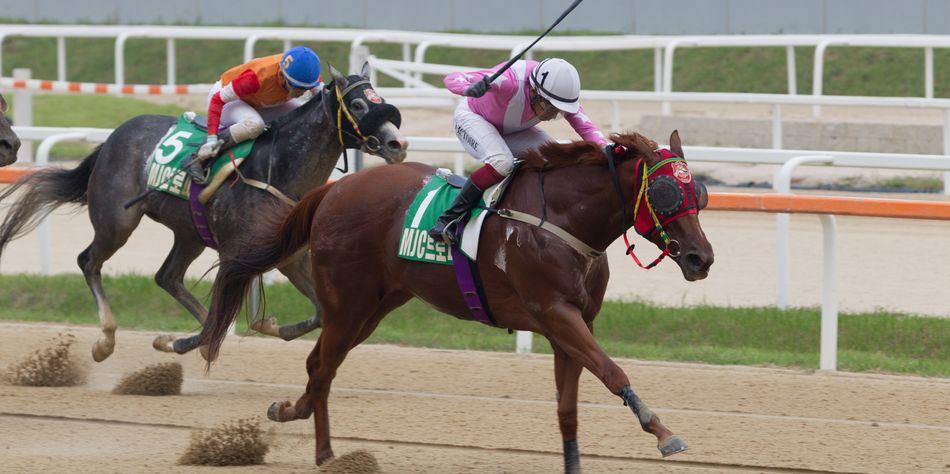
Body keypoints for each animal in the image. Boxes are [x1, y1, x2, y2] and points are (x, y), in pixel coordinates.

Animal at [0, 65, 406, 362]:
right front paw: (177, 341)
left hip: (189, 233)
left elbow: (320, 313)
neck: (279, 170)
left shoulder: (291, 257)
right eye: (358, 105)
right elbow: (219, 317)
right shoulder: (236, 255)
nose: (397, 144)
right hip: (117, 222)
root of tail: (113, 137)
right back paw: (106, 341)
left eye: (381, 99)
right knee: (89, 261)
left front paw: (267, 326)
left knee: (167, 277)